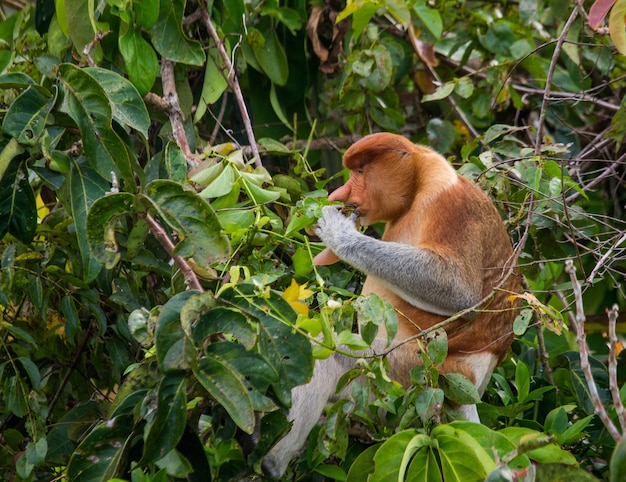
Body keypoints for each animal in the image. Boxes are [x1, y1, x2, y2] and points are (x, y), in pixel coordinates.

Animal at [260, 132, 520, 478]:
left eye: (360, 172)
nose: (340, 194)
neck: (415, 191)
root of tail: (472, 385)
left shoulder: (450, 203)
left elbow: (458, 290)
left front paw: (336, 231)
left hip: (412, 374)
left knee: (329, 356)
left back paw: (271, 464)